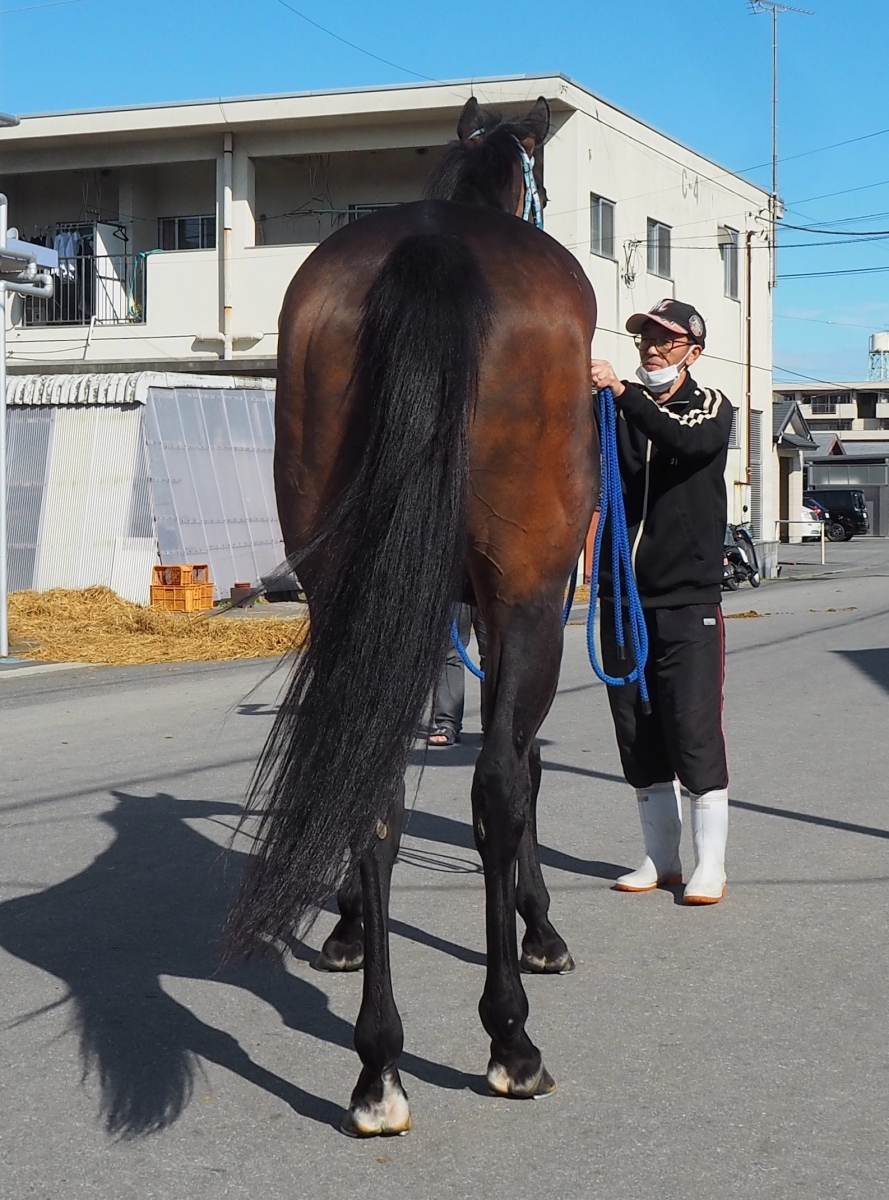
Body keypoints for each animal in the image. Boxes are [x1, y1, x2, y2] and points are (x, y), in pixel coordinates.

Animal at [227, 96, 600, 1136]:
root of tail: (432, 248)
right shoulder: (519, 612)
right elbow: (524, 771)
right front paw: (541, 928)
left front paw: (349, 930)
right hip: (525, 595)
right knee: (497, 788)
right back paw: (509, 1040)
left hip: (345, 587)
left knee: (372, 790)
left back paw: (378, 1064)